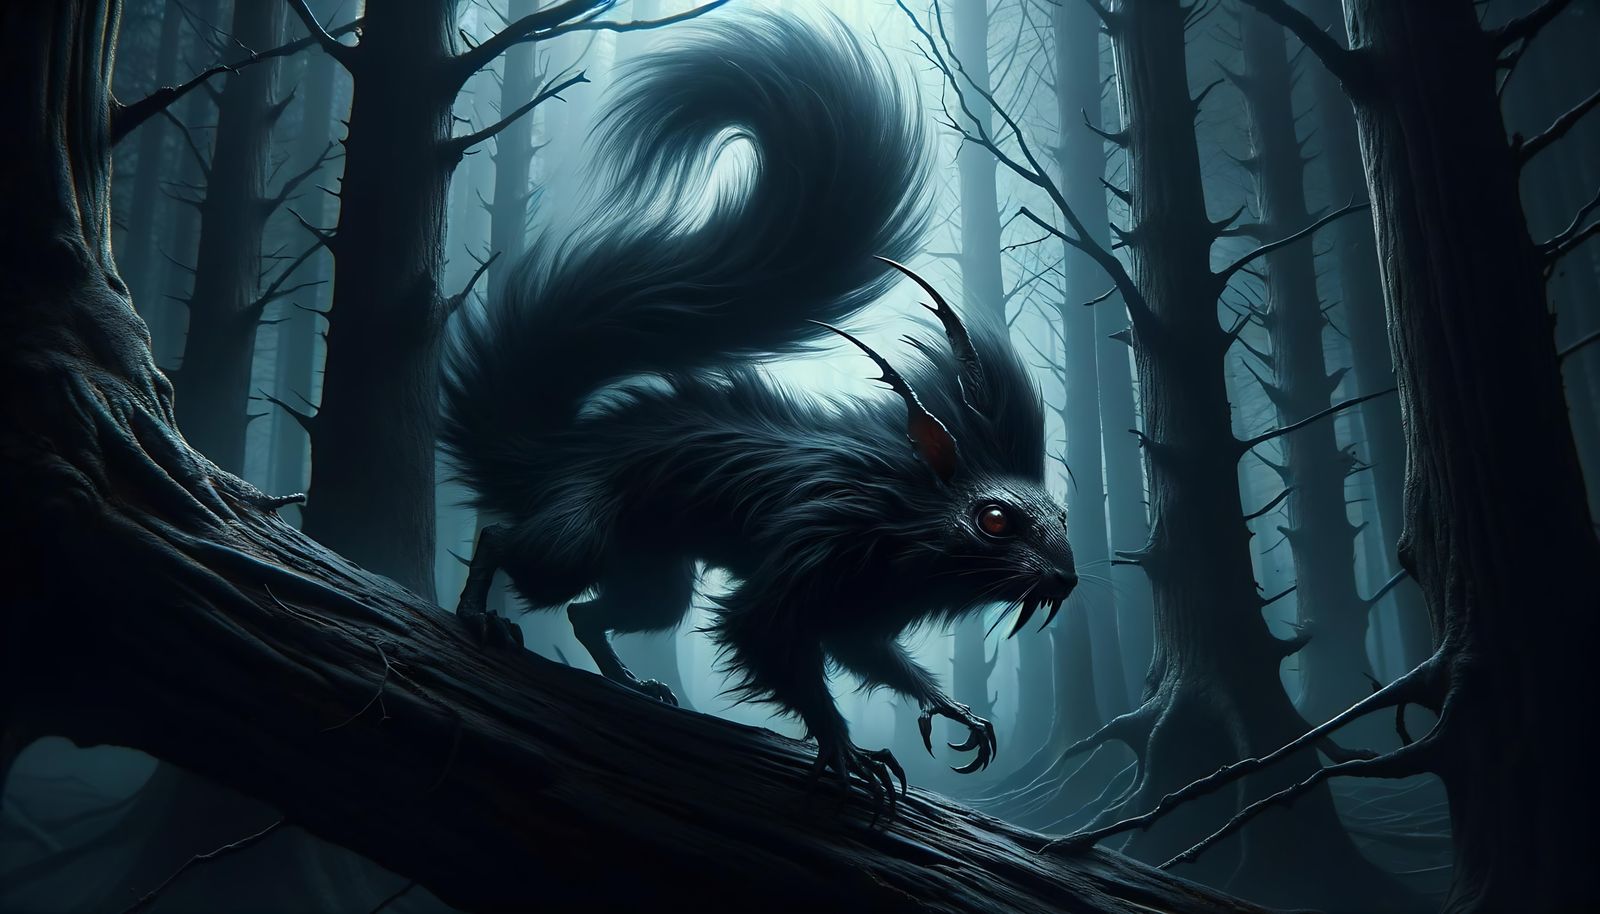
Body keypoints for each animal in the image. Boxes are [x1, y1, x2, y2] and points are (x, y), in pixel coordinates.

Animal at [441, 13, 1077, 803]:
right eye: (995, 520)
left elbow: (871, 656)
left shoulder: (862, 606)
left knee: (595, 612)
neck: (903, 513)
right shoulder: (814, 549)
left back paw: (632, 682)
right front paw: (847, 749)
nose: (1066, 579)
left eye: (1063, 519)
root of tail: (556, 452)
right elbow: (766, 635)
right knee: (511, 544)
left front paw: (949, 707)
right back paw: (480, 617)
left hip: (651, 569)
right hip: (581, 529)